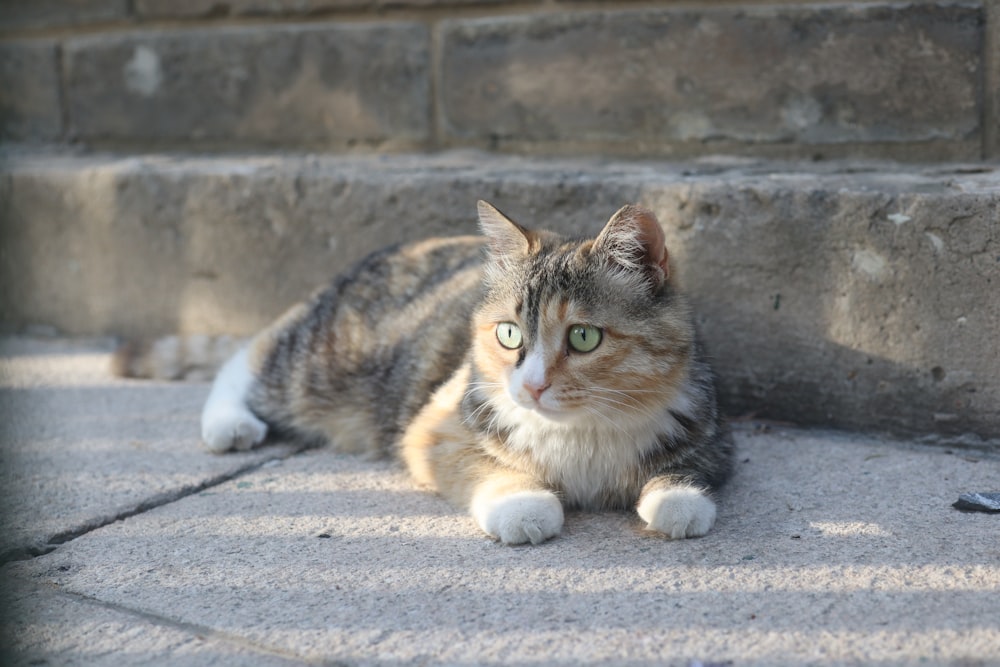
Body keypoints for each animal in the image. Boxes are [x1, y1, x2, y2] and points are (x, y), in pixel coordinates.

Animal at [203, 202, 736, 544]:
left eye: (584, 337)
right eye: (509, 334)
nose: (532, 386)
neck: (581, 431)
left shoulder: (705, 426)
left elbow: (691, 466)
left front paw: (677, 499)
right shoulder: (439, 424)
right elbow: (483, 465)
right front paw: (524, 506)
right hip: (321, 359)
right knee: (249, 356)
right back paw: (230, 424)